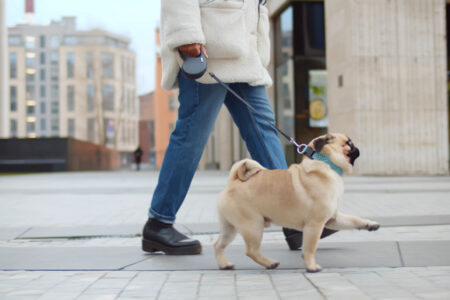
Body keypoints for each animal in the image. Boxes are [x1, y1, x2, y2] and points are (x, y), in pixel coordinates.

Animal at [214, 133, 380, 272]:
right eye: (348, 143)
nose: (356, 145)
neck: (325, 163)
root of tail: (233, 182)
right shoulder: (315, 224)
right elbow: (310, 248)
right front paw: (311, 267)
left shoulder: (333, 218)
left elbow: (354, 220)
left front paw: (370, 224)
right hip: (253, 226)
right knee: (251, 251)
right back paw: (270, 263)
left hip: (230, 228)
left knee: (218, 245)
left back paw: (224, 264)